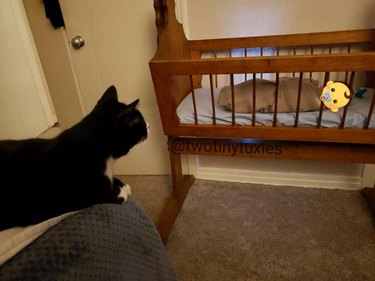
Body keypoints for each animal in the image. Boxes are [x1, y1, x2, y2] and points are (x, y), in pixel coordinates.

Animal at [0, 85, 149, 230]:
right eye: (141, 122)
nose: (149, 125)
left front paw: (123, 185)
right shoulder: (70, 198)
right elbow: (104, 194)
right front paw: (121, 191)